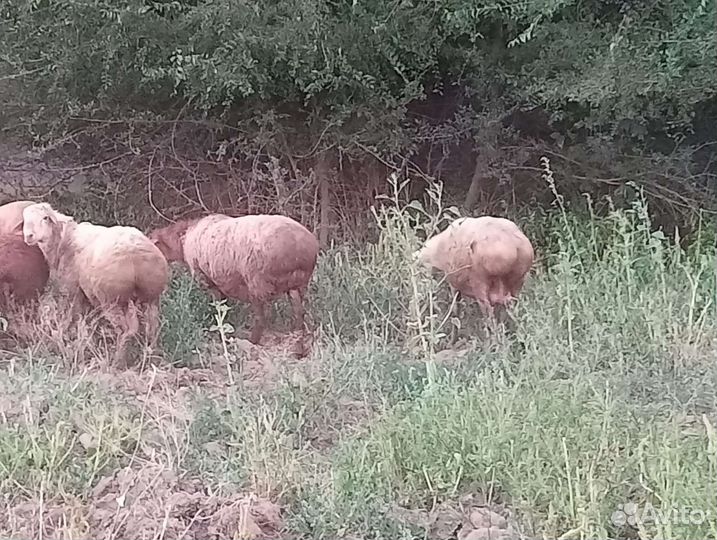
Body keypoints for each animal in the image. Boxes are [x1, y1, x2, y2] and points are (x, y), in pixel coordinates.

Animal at [22, 203, 170, 364]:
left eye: (45, 218)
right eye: (25, 219)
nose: (28, 236)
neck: (64, 240)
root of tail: (135, 254)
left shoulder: (74, 291)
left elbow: (76, 318)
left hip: (111, 298)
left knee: (126, 330)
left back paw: (117, 361)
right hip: (151, 296)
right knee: (152, 326)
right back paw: (152, 356)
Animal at [149, 213, 319, 347]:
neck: (183, 240)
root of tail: (300, 248)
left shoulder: (206, 279)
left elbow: (217, 305)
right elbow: (223, 304)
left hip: (257, 282)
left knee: (261, 317)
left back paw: (252, 341)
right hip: (297, 285)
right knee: (299, 313)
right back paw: (298, 343)